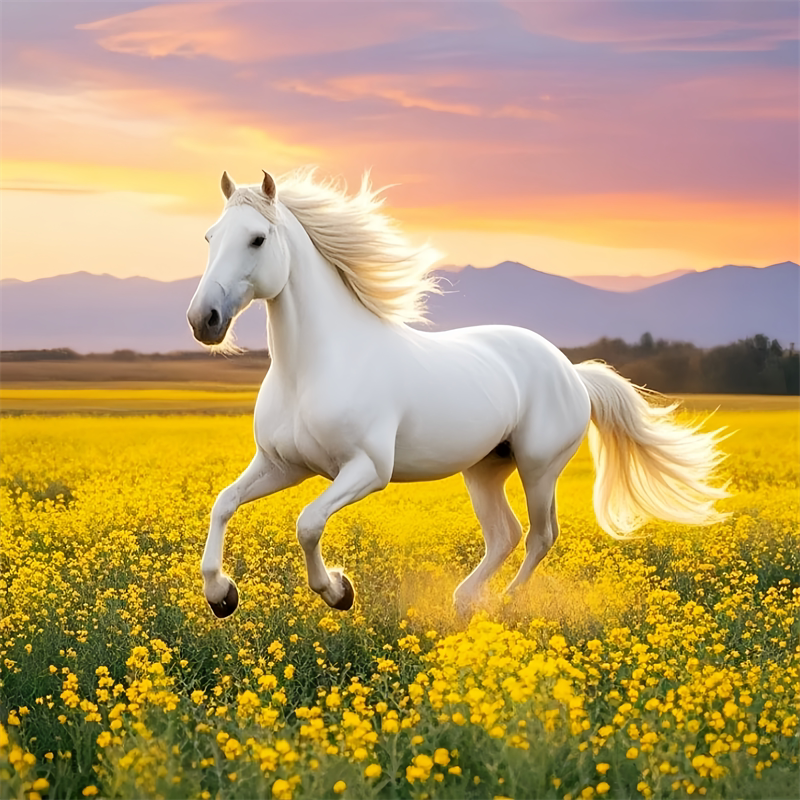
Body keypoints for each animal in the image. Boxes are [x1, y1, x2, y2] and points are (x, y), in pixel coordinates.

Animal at [187, 168, 727, 619]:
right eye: (210, 237)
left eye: (257, 239)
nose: (203, 319)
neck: (313, 368)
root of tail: (571, 372)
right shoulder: (284, 464)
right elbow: (224, 503)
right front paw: (221, 595)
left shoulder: (367, 470)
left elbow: (308, 522)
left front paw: (339, 592)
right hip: (485, 469)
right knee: (505, 535)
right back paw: (466, 599)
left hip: (539, 468)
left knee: (540, 535)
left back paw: (503, 601)